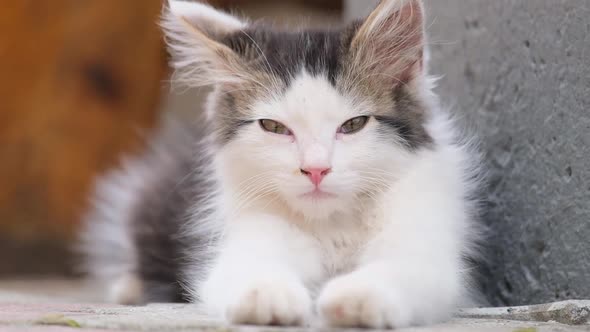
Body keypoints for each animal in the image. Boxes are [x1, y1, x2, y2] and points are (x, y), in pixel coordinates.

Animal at [80, 0, 486, 328]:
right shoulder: (242, 234)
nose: (316, 169)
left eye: (353, 125)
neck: (332, 224)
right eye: (274, 127)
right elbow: (248, 266)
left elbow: (404, 268)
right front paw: (266, 295)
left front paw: (359, 297)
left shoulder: (424, 238)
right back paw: (129, 287)